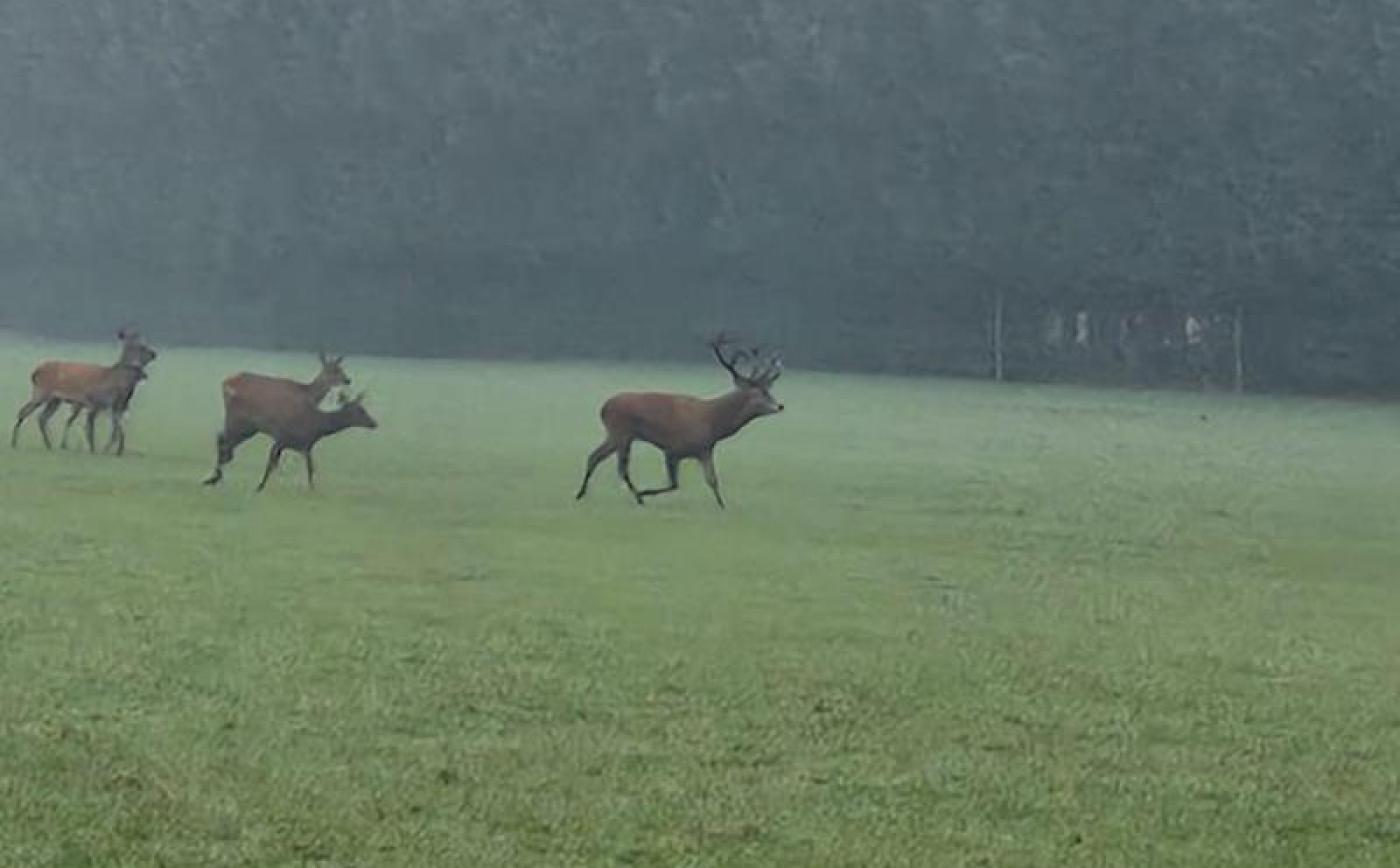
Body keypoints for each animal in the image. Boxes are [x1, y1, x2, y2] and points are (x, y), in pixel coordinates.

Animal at [11, 329, 158, 453]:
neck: (115, 379)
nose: (154, 354)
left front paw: (116, 451)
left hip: (55, 399)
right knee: (24, 411)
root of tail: (35, 372)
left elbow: (116, 429)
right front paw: (94, 450)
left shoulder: (114, 406)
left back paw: (49, 445)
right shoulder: (95, 402)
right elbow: (91, 428)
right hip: (42, 392)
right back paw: (14, 442)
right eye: (141, 346)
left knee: (41, 417)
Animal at [203, 352, 375, 487]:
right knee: (223, 439)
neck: (309, 396)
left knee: (224, 441)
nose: (347, 380)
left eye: (341, 369)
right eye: (332, 370)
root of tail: (226, 382)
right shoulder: (282, 431)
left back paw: (216, 477)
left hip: (247, 425)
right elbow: (277, 459)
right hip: (238, 418)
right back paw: (215, 477)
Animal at [571, 334, 784, 509]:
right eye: (759, 394)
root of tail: (603, 407)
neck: (713, 422)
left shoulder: (705, 449)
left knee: (596, 458)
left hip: (618, 434)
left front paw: (723, 505)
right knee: (617, 466)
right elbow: (675, 484)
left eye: (769, 391)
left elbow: (712, 480)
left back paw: (583, 493)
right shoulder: (673, 449)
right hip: (621, 432)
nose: (780, 406)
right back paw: (633, 497)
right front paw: (645, 493)